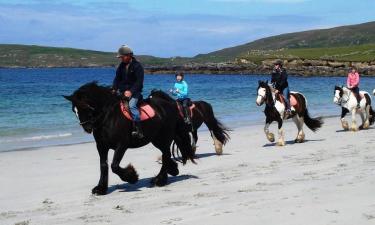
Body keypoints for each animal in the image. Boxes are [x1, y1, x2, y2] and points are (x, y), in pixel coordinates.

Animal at [63, 82, 195, 195]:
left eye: (86, 107)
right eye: (74, 111)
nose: (87, 128)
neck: (108, 117)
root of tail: (170, 104)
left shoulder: (121, 145)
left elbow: (114, 165)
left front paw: (132, 177)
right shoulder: (101, 146)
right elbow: (103, 165)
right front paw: (100, 188)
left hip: (163, 138)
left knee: (166, 155)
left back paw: (159, 180)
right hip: (157, 139)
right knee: (165, 154)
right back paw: (171, 171)